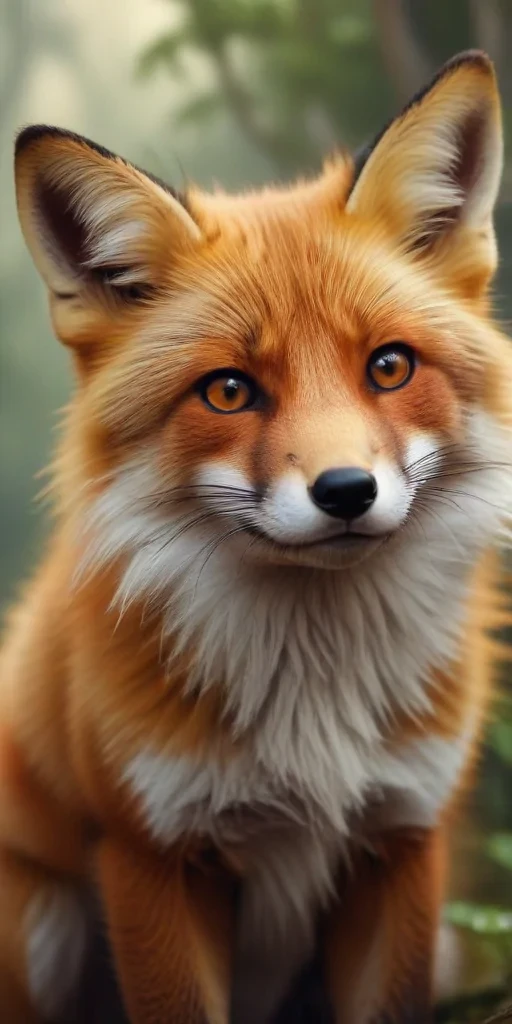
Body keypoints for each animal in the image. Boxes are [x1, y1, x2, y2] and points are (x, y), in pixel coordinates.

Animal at [1, 48, 512, 1024]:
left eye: (389, 367)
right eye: (229, 391)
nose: (346, 491)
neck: (314, 705)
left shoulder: (402, 840)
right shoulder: (151, 856)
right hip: (38, 917)